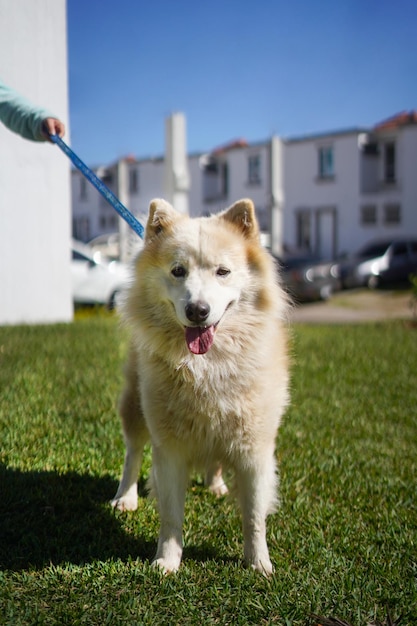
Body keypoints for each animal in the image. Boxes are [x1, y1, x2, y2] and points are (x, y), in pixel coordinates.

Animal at [112, 197, 290, 572]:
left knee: (215, 458)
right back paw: (125, 497)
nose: (198, 310)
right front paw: (167, 561)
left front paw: (259, 564)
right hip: (135, 406)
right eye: (178, 271)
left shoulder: (254, 450)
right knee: (133, 452)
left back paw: (216, 483)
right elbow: (171, 517)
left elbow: (254, 517)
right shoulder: (169, 450)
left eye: (222, 272)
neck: (206, 367)